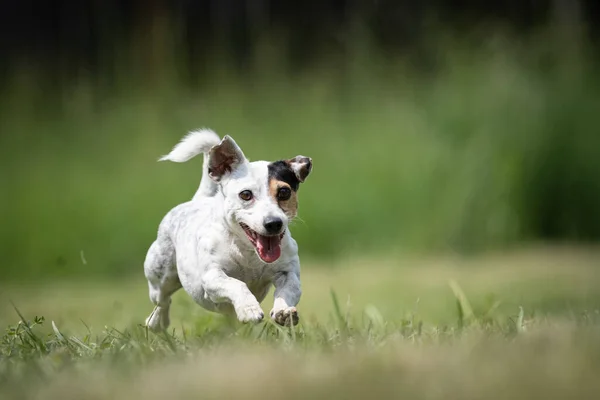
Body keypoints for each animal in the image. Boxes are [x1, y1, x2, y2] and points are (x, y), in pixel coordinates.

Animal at [143, 129, 312, 332]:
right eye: (245, 194)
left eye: (284, 192)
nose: (274, 223)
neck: (248, 253)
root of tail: (198, 200)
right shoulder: (212, 277)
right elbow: (237, 284)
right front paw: (249, 309)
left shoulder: (288, 273)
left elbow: (288, 289)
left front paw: (284, 311)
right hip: (160, 277)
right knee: (162, 301)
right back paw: (157, 322)